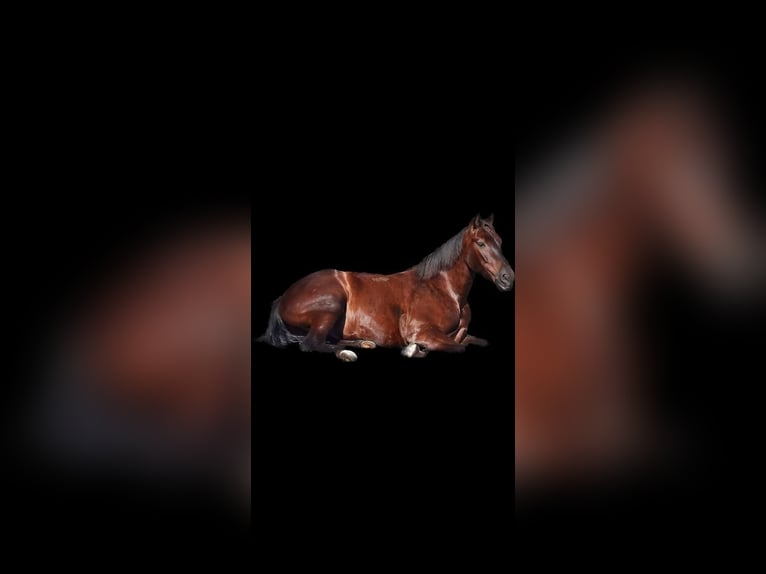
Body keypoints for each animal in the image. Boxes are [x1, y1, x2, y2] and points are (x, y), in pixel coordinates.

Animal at [258, 214, 513, 362]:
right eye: (481, 243)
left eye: (500, 242)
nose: (508, 278)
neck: (444, 290)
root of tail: (283, 297)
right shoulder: (421, 331)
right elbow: (457, 347)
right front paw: (413, 350)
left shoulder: (461, 333)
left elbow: (473, 341)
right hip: (330, 305)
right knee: (312, 344)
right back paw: (349, 353)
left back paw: (364, 343)